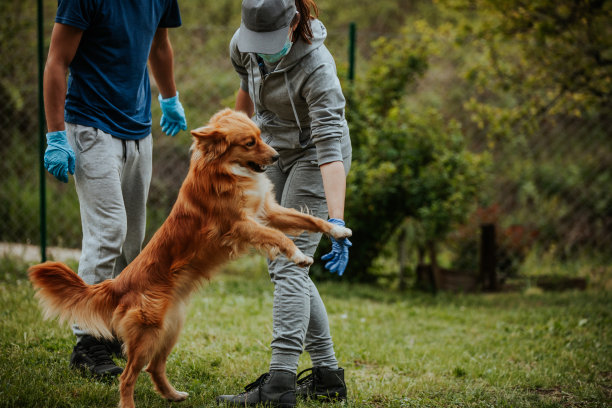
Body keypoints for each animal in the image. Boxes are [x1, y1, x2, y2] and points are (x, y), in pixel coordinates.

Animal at [28, 108, 352, 408]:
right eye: (249, 142)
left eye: (260, 137)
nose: (275, 156)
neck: (225, 170)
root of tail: (119, 283)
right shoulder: (241, 225)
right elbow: (280, 237)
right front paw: (298, 255)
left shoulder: (267, 212)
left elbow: (308, 220)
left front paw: (338, 231)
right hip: (146, 336)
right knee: (129, 376)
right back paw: (131, 403)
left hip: (169, 330)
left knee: (154, 368)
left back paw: (173, 395)